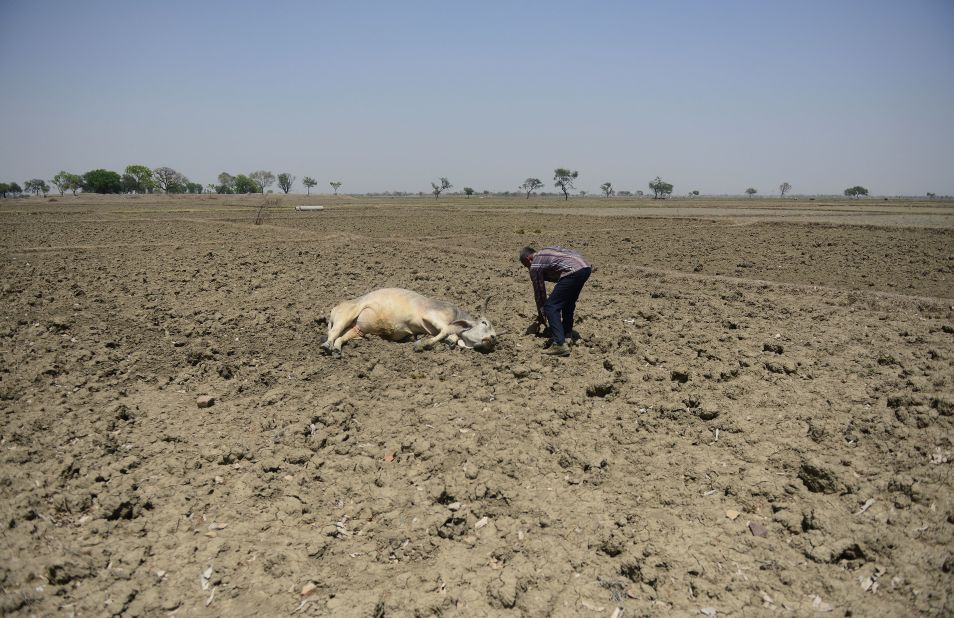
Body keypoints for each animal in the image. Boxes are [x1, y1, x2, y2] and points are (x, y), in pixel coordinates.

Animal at [322, 286, 498, 354]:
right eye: (485, 323)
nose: (493, 339)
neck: (456, 314)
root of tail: (337, 306)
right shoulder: (431, 315)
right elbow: (445, 330)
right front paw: (422, 344)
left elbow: (450, 337)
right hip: (345, 316)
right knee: (333, 332)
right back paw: (326, 345)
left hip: (357, 329)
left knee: (342, 337)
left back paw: (336, 349)